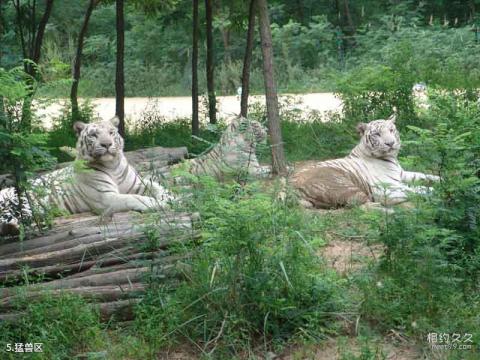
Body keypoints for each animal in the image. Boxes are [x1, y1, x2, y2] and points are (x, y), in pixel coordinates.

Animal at [0, 116, 172, 236]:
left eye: (111, 132)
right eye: (94, 135)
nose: (107, 144)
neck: (112, 167)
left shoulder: (137, 184)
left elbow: (157, 186)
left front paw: (170, 197)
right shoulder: (106, 198)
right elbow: (133, 198)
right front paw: (157, 203)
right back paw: (12, 228)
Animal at [290, 115, 440, 208]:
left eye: (391, 130)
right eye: (377, 134)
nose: (390, 143)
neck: (391, 158)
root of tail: (290, 185)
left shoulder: (402, 174)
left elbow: (424, 176)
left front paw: (442, 179)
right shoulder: (388, 187)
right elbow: (418, 189)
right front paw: (437, 192)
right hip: (343, 186)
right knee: (359, 205)